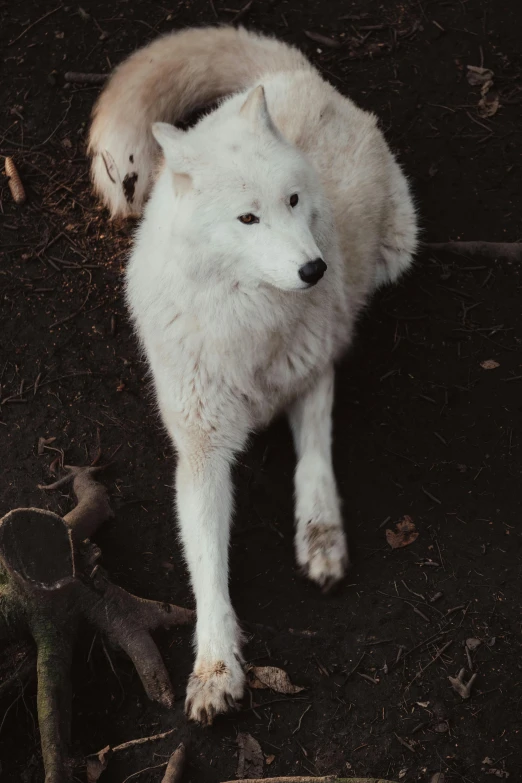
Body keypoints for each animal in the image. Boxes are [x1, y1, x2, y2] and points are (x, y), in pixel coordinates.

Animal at [88, 27, 414, 724]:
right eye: (247, 218)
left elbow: (315, 453)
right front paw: (215, 668)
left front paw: (321, 539)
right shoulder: (201, 448)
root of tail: (294, 75)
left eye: (292, 201)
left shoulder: (314, 362)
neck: (249, 323)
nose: (315, 270)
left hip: (394, 255)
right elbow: (208, 566)